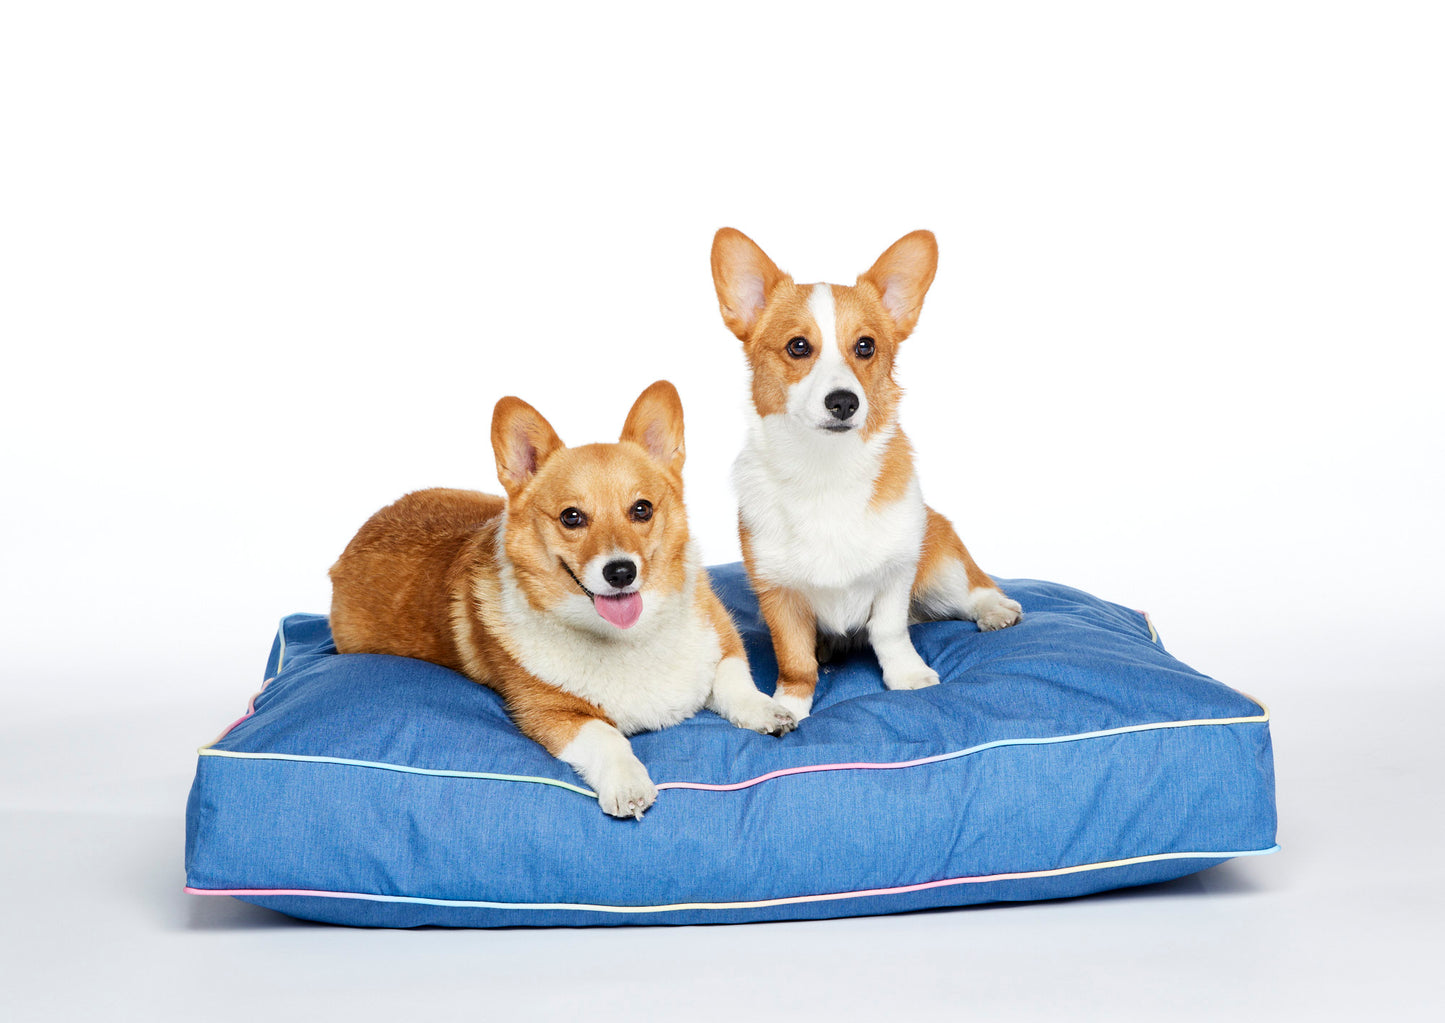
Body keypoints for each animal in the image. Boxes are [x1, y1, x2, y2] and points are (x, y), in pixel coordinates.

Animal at [329, 378, 797, 820]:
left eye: (642, 509)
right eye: (572, 517)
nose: (621, 572)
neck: (628, 638)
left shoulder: (723, 641)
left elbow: (734, 680)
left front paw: (769, 711)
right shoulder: (551, 713)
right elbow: (606, 737)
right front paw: (628, 785)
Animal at [713, 225, 1028, 719]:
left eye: (866, 346)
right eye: (798, 346)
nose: (844, 402)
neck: (825, 470)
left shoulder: (896, 574)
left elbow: (890, 631)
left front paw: (908, 676)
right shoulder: (777, 592)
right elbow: (795, 659)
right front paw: (790, 707)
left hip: (940, 565)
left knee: (975, 588)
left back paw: (996, 610)